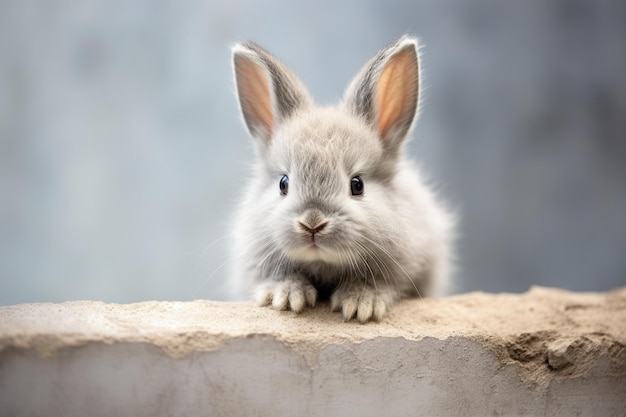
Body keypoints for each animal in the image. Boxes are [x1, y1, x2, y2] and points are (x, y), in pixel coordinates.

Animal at [227, 35, 450, 322]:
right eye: (283, 184)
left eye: (357, 184)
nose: (312, 223)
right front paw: (287, 297)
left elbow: (379, 281)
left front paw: (360, 305)